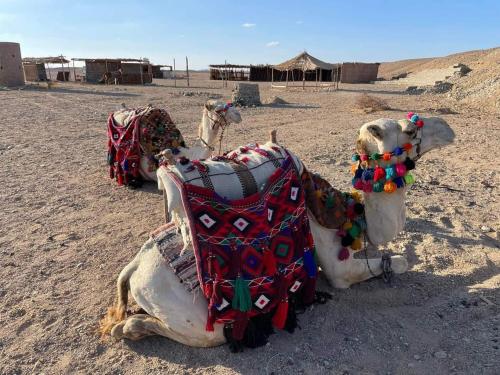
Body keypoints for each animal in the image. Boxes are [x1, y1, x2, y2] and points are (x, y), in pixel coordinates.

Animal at [102, 114, 458, 346]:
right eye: (410, 129)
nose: (448, 129)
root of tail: (135, 267)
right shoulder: (333, 260)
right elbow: (395, 262)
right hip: (198, 320)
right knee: (194, 333)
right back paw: (130, 328)